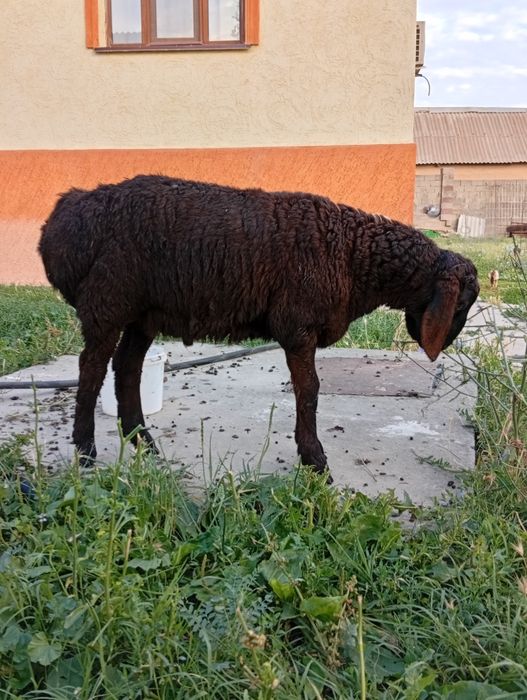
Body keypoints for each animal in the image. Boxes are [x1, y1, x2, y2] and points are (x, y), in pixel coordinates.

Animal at [39, 175, 479, 475]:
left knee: (126, 368)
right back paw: (86, 451)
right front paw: (314, 459)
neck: (352, 253)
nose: (446, 346)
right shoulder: (297, 325)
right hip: (107, 302)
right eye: (460, 304)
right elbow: (309, 391)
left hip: (142, 314)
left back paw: (143, 443)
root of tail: (65, 216)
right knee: (91, 371)